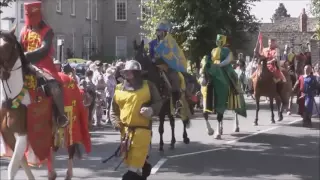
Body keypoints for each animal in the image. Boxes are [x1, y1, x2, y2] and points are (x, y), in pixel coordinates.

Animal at [0, 27, 89, 180]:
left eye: (6, 45)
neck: (13, 97)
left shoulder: (23, 134)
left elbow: (13, 167)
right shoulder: (8, 135)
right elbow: (22, 162)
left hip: (71, 122)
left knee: (70, 148)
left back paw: (67, 174)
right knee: (50, 149)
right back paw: (51, 173)